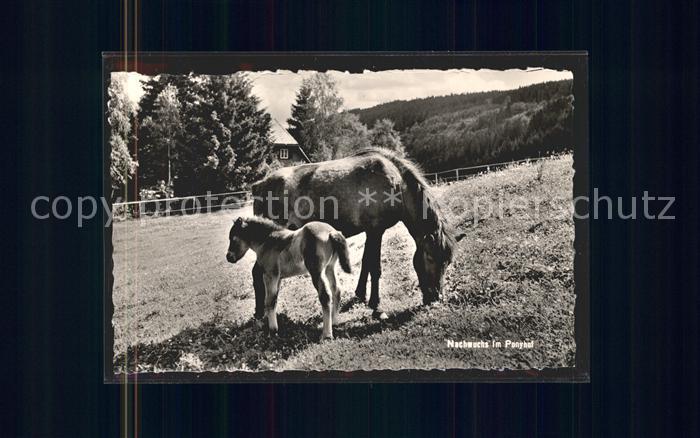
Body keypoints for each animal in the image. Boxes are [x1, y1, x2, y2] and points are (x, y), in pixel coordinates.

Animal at [250, 148, 463, 321]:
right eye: (430, 257)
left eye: (448, 262)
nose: (436, 297)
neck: (397, 185)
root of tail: (259, 185)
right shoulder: (376, 231)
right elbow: (375, 268)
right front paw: (377, 307)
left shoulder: (371, 232)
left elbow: (366, 263)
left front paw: (361, 294)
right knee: (257, 272)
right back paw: (261, 313)